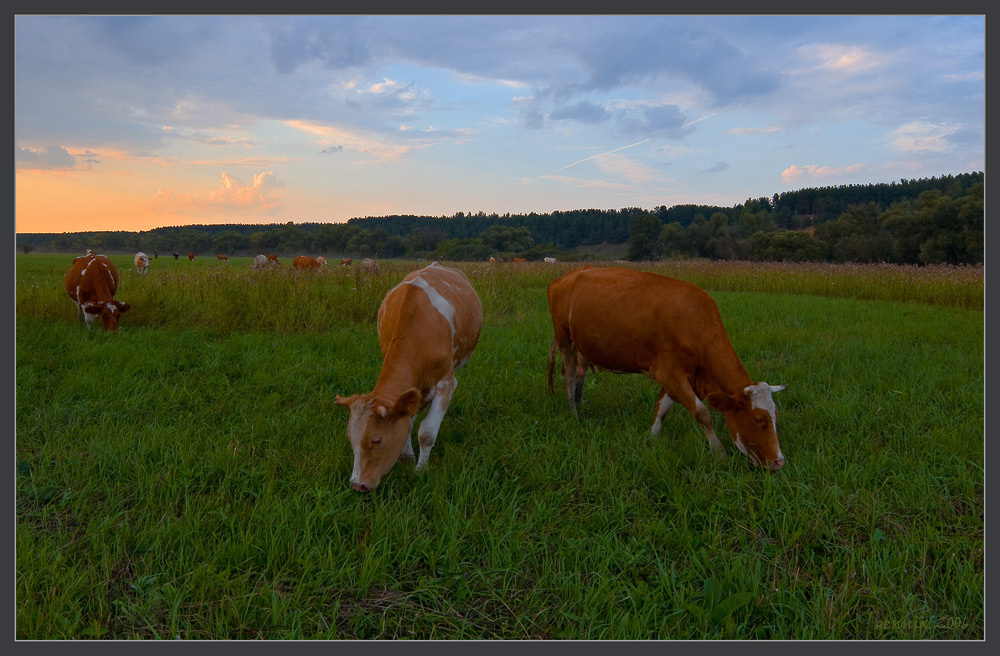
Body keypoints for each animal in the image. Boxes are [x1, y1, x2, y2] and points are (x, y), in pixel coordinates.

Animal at [334, 262, 484, 492]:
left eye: (376, 440)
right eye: (351, 438)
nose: (357, 485)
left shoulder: (446, 382)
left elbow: (427, 432)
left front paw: (420, 470)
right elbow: (408, 420)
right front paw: (407, 458)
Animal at [546, 266, 787, 470]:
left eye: (775, 414)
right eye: (758, 420)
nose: (779, 462)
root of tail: (567, 275)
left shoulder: (675, 377)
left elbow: (662, 407)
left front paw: (652, 437)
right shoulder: (670, 373)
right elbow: (702, 413)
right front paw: (719, 453)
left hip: (582, 347)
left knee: (580, 375)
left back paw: (580, 405)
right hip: (564, 337)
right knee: (569, 376)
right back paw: (574, 413)